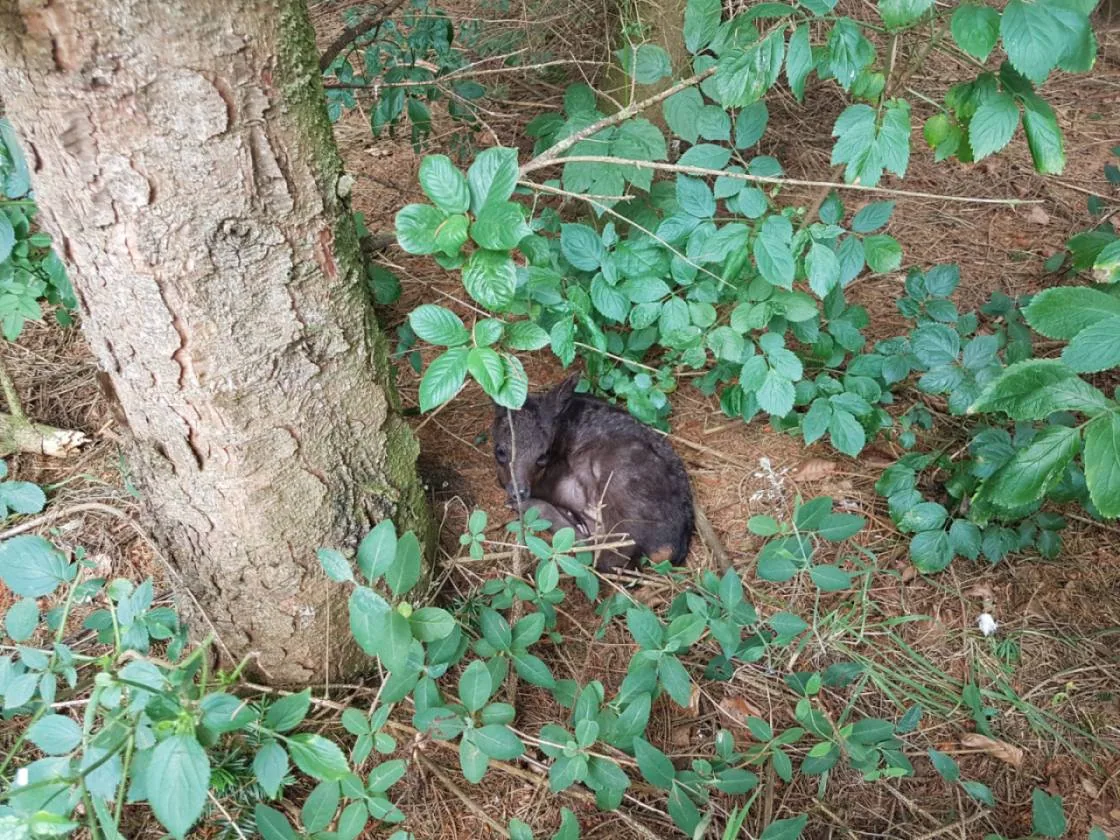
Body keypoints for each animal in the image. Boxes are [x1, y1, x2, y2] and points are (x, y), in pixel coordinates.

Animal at [490, 372, 694, 572]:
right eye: (500, 451)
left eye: (543, 455)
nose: (520, 491)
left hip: (621, 478)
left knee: (606, 555)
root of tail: (669, 550)